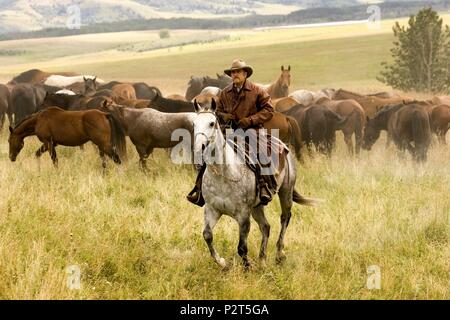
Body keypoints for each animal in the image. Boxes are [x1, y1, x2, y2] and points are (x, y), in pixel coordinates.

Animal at [193, 99, 320, 268]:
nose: (199, 148)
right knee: (266, 227)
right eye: (194, 123)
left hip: (286, 192)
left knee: (285, 218)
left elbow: (241, 247)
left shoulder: (243, 214)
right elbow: (207, 235)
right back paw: (262, 259)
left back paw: (279, 254)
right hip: (258, 206)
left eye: (212, 123)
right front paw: (223, 263)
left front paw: (247, 266)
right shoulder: (212, 210)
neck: (224, 174)